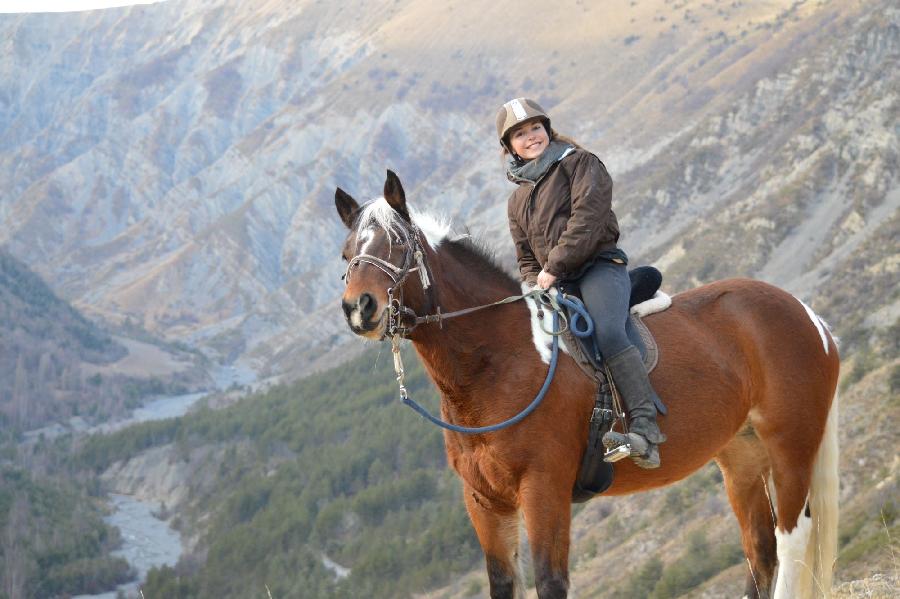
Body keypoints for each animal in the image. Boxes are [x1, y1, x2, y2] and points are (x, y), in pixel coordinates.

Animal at [334, 171, 840, 596]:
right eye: (346, 253)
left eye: (399, 244)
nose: (360, 308)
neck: (495, 364)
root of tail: (805, 313)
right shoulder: (485, 502)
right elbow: (503, 584)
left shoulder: (544, 488)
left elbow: (550, 581)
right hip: (741, 459)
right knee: (761, 550)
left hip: (790, 446)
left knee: (792, 539)